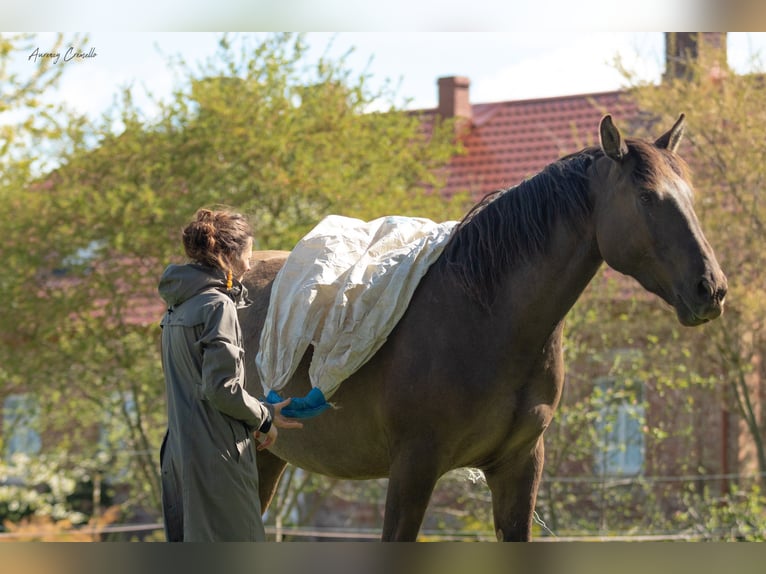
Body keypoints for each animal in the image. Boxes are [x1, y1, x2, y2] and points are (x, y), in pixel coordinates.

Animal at [240, 113, 728, 544]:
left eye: (690, 195)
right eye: (647, 197)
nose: (712, 288)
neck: (483, 317)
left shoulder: (519, 467)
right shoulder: (413, 468)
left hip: (268, 458)